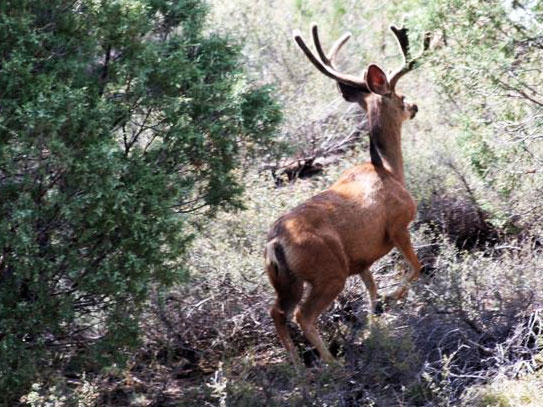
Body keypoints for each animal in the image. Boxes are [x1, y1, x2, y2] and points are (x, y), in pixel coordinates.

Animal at [266, 23, 432, 364]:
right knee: (303, 315)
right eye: (400, 95)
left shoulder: (362, 259)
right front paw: (395, 297)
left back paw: (298, 368)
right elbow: (416, 267)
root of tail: (276, 242)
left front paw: (376, 319)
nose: (414, 106)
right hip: (329, 271)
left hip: (287, 281)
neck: (389, 170)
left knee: (277, 313)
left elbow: (371, 289)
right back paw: (332, 364)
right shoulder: (398, 225)